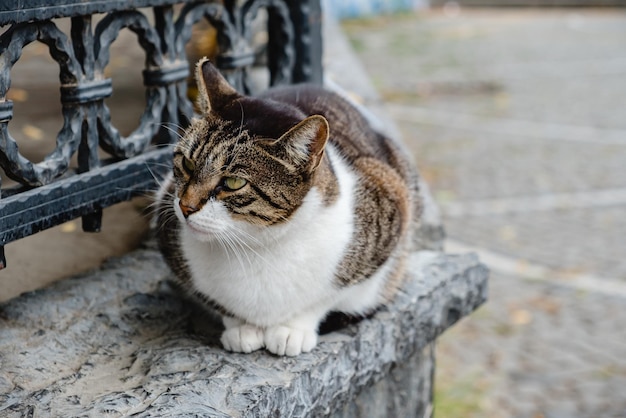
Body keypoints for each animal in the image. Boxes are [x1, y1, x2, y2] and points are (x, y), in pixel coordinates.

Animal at [155, 58, 420, 358]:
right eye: (187, 163)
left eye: (233, 182)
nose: (185, 207)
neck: (253, 246)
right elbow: (216, 301)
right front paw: (241, 327)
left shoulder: (391, 205)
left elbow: (325, 298)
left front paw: (293, 329)